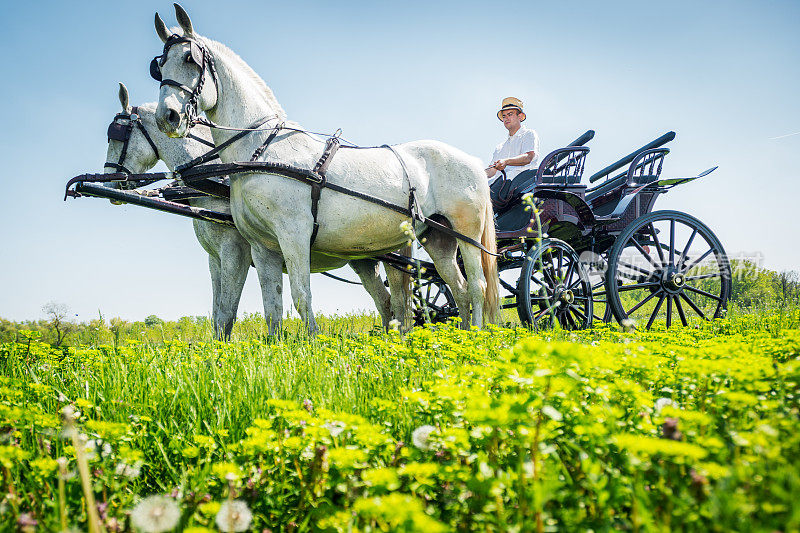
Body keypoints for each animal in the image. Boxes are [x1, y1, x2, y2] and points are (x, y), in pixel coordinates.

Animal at [104, 83, 404, 336]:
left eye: (117, 134)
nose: (110, 180)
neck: (220, 176)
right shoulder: (216, 258)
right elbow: (217, 311)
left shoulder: (234, 251)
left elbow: (227, 311)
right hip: (363, 258)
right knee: (386, 302)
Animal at [152, 5, 494, 328]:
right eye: (160, 66)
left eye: (190, 59)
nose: (167, 117)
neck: (262, 148)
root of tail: (473, 162)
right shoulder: (263, 247)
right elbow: (272, 308)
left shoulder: (294, 234)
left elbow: (301, 297)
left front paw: (312, 343)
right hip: (438, 237)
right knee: (457, 288)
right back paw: (461, 336)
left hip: (467, 233)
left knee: (476, 287)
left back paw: (476, 335)